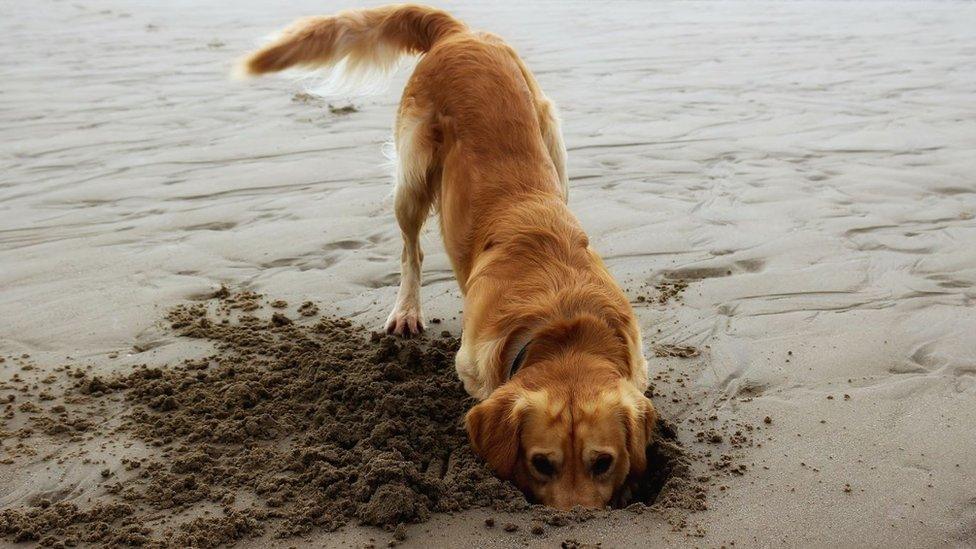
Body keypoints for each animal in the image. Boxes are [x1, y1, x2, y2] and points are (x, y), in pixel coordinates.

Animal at [240, 4, 660, 510]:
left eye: (604, 462)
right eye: (542, 463)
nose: (577, 518)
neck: (564, 324)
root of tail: (458, 33)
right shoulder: (473, 368)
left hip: (554, 143)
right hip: (413, 172)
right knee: (411, 251)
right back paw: (405, 310)